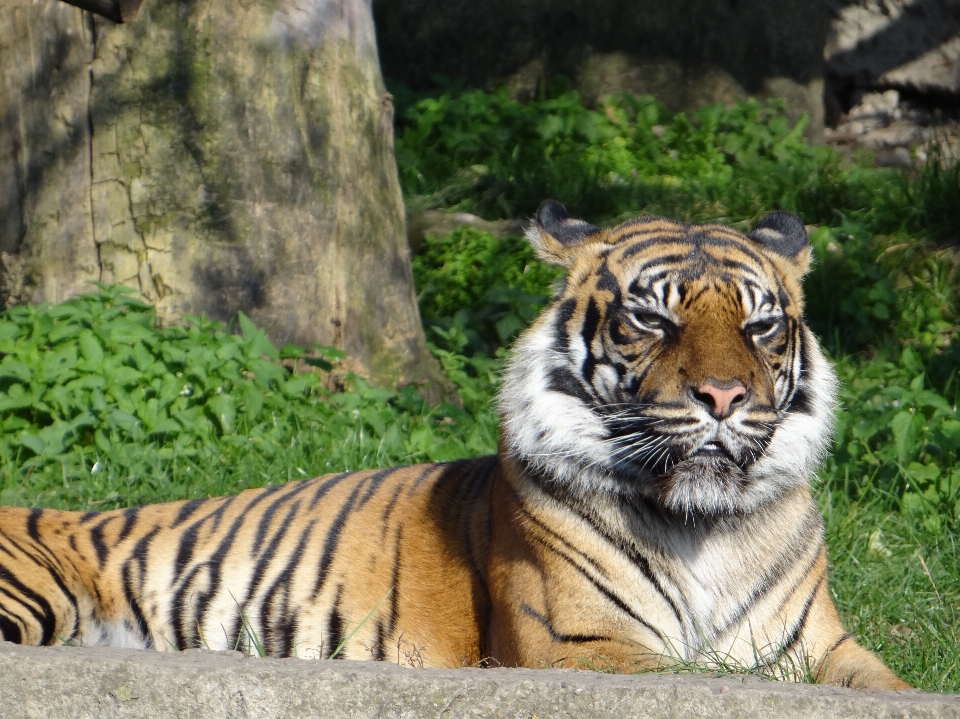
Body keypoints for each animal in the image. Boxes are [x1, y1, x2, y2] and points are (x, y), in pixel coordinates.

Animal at [0, 202, 908, 692]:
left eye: (760, 325)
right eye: (651, 318)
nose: (724, 397)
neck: (705, 525)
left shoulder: (821, 647)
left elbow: (896, 684)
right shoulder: (579, 646)